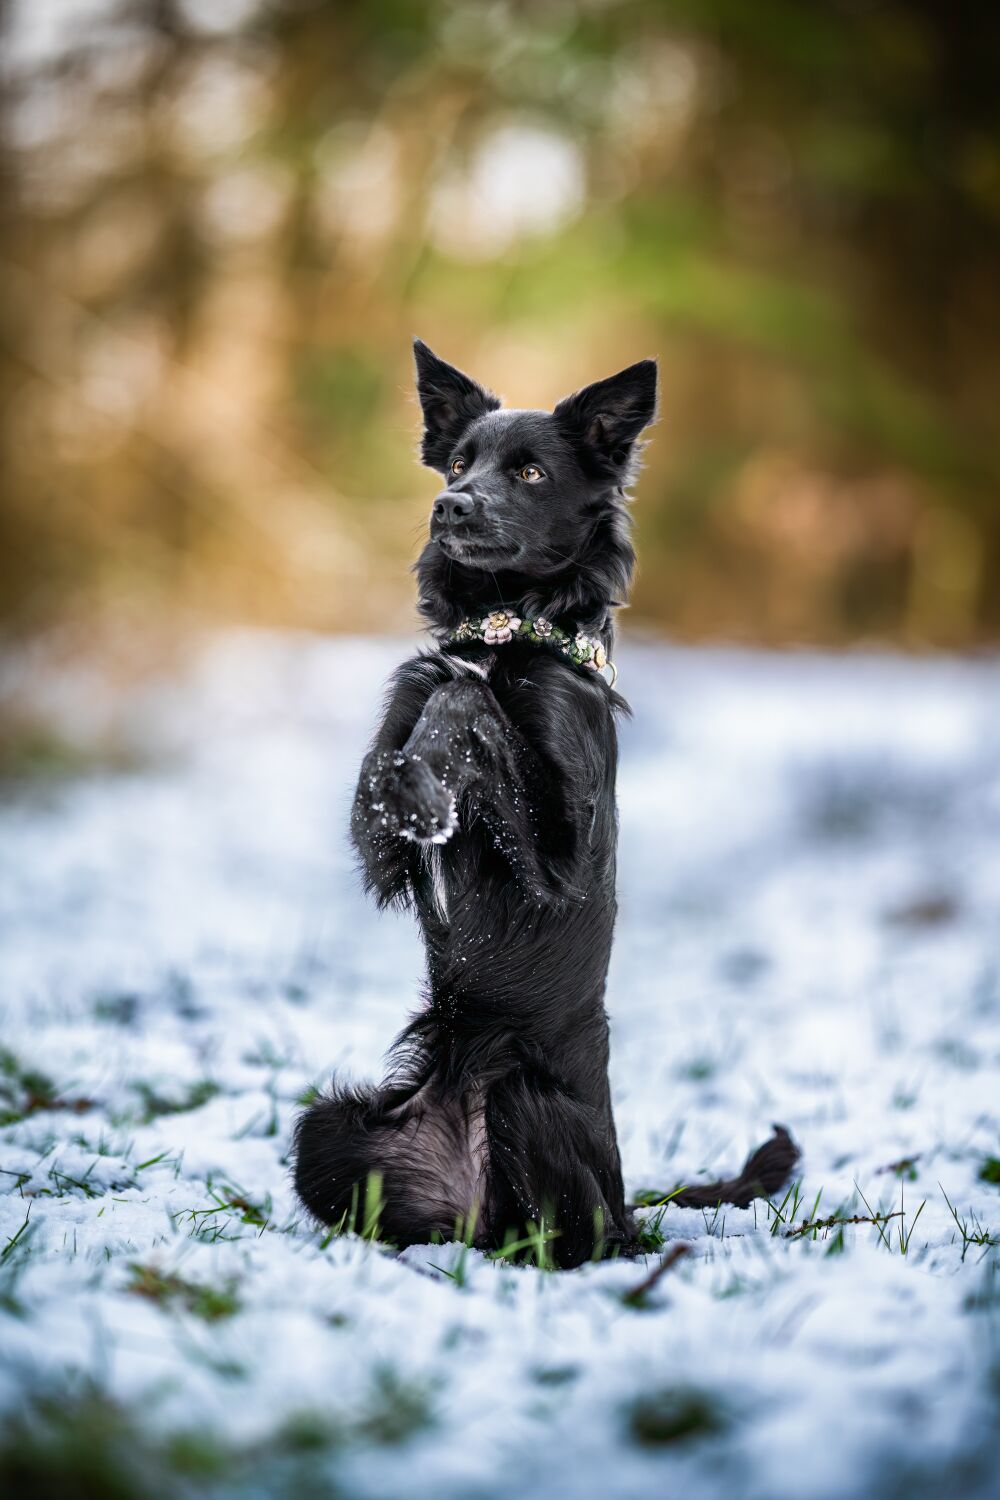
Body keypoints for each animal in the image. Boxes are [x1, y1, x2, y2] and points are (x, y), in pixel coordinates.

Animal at [293, 343, 803, 1266]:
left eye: (529, 472)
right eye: (459, 464)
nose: (449, 505)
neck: (507, 628)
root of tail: (631, 1207)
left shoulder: (561, 855)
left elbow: (470, 706)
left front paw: (434, 775)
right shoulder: (382, 839)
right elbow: (396, 755)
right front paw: (411, 782)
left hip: (524, 1097)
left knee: (571, 1241)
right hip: (325, 1128)